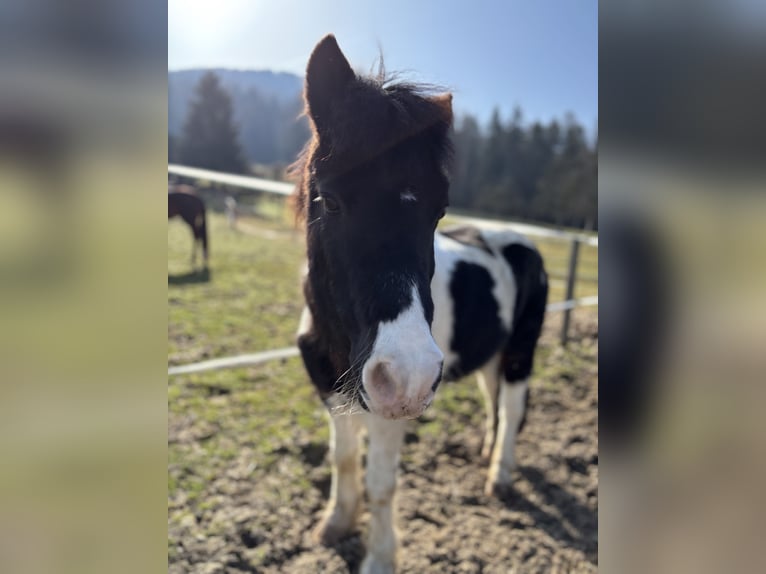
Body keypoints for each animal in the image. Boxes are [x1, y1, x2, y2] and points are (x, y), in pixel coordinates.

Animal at [293, 35, 548, 573]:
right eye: (330, 199)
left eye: (439, 211)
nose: (407, 375)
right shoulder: (332, 394)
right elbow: (342, 460)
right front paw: (335, 525)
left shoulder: (388, 412)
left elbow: (382, 485)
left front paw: (379, 558)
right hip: (488, 356)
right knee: (493, 402)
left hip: (520, 352)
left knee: (513, 408)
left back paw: (500, 477)